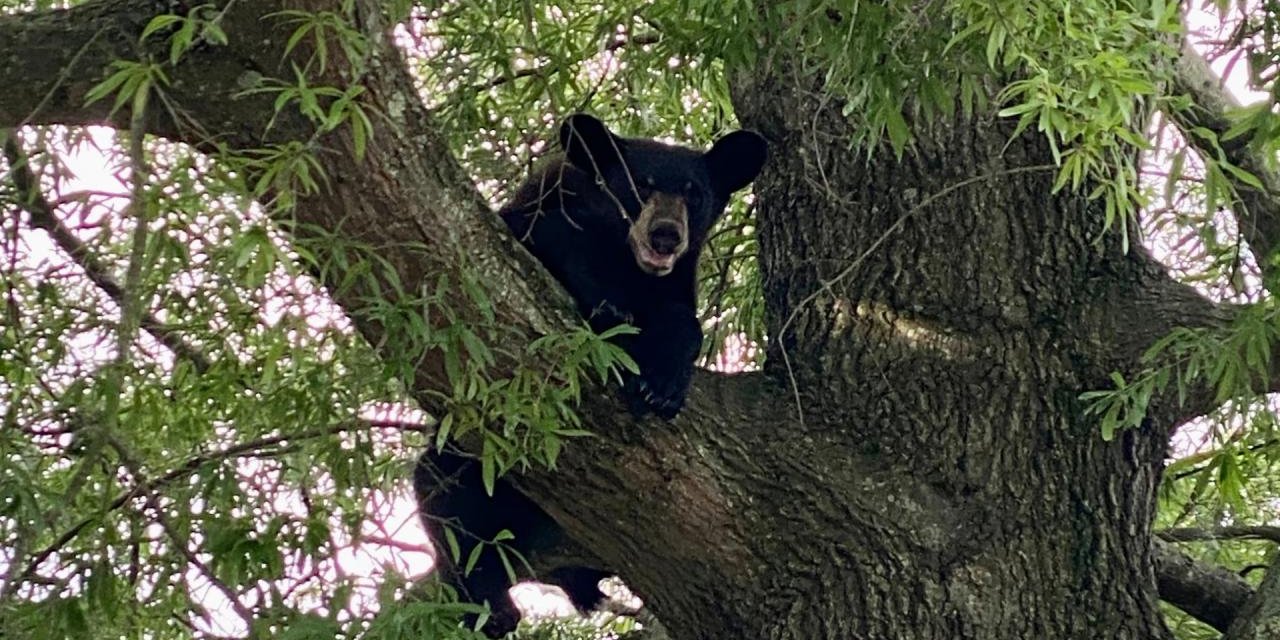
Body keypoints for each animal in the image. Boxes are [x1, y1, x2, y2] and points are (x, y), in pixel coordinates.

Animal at [414, 113, 762, 634]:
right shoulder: (540, 216)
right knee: (443, 489)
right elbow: (552, 246)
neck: (625, 261)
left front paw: (662, 384)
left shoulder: (676, 283)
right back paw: (492, 601)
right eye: (640, 185)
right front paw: (608, 311)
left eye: (694, 194)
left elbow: (683, 320)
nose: (665, 234)